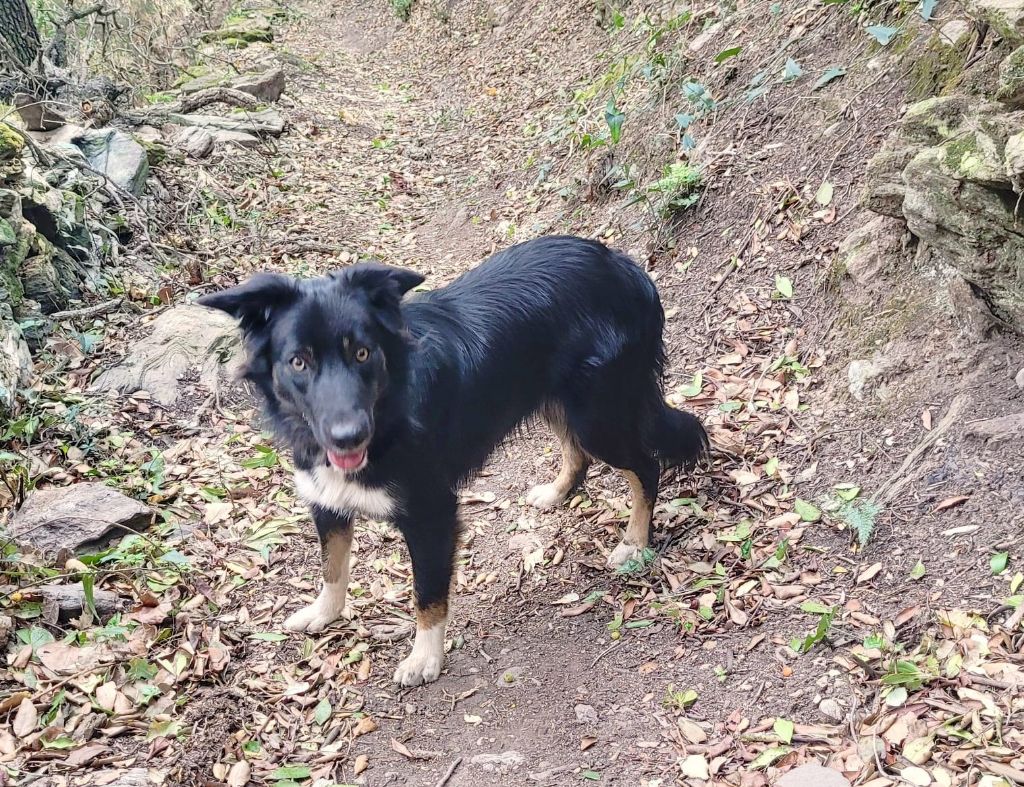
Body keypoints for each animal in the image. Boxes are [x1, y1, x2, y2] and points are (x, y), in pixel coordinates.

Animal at [201, 236, 712, 683]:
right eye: (299, 362)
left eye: (363, 353)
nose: (349, 438)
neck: (390, 406)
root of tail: (625, 267)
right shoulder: (326, 502)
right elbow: (332, 568)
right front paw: (323, 614)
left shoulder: (432, 513)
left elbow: (427, 594)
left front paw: (425, 658)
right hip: (557, 400)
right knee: (577, 452)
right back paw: (557, 491)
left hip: (598, 415)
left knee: (645, 467)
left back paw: (635, 542)